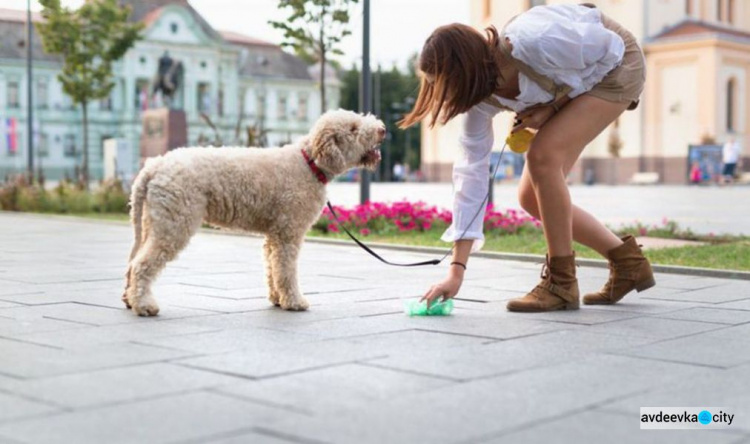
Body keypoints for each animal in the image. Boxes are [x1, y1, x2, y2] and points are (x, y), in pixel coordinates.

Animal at [122, 109, 384, 316]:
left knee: (133, 261)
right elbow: (286, 270)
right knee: (142, 264)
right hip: (174, 223)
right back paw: (144, 306)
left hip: (153, 221)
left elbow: (272, 268)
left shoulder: (274, 235)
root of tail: (154, 166)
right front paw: (294, 301)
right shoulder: (288, 232)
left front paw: (278, 299)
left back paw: (130, 300)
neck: (309, 163)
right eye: (353, 128)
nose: (382, 129)